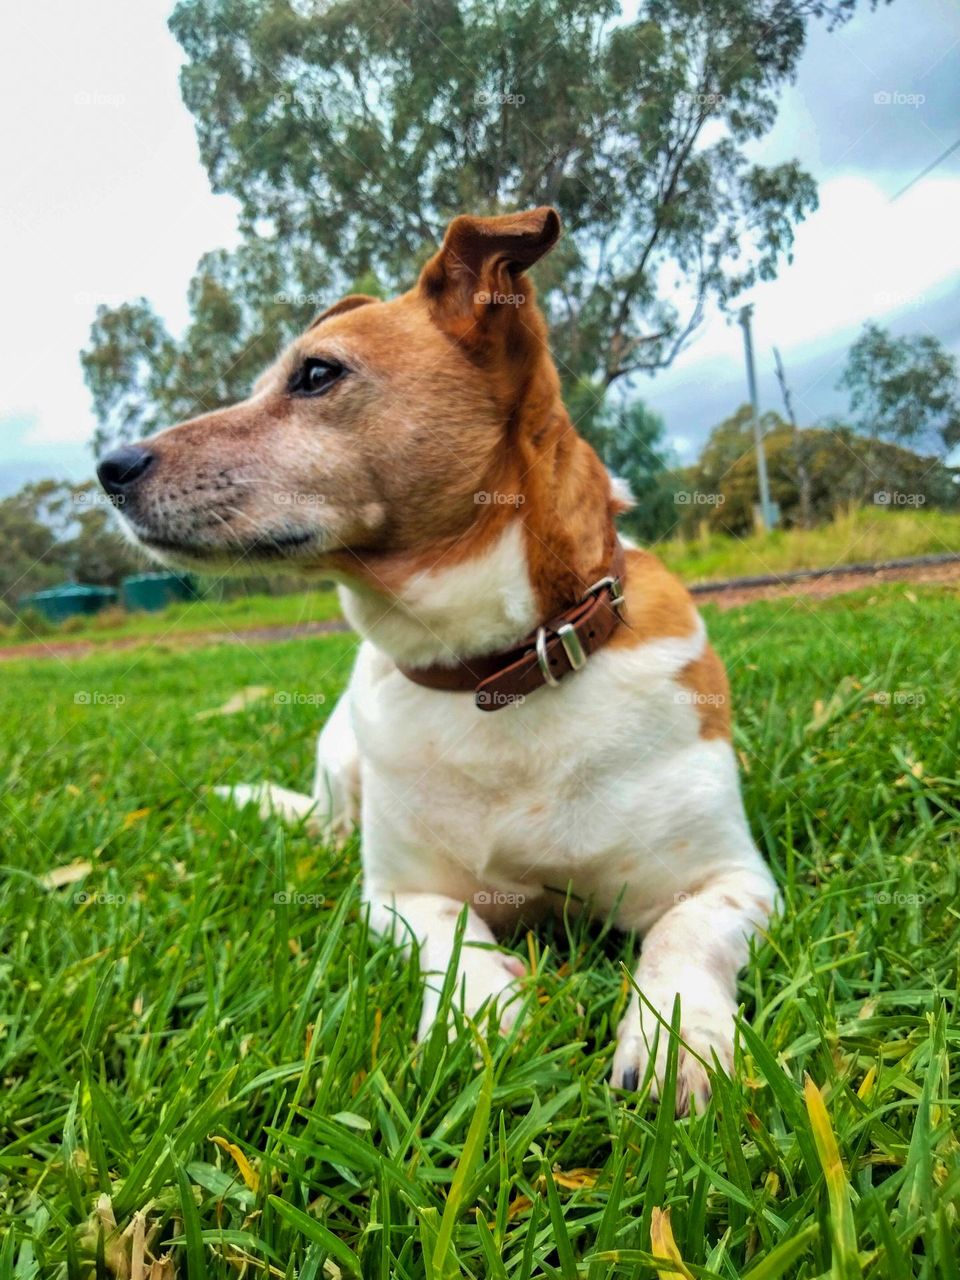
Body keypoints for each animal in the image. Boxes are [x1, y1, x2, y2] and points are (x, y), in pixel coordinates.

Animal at [97, 207, 778, 1111]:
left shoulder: (732, 879)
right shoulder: (398, 895)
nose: (109, 468)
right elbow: (452, 935)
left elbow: (685, 937)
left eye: (316, 374)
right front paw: (479, 1013)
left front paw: (679, 1040)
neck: (494, 671)